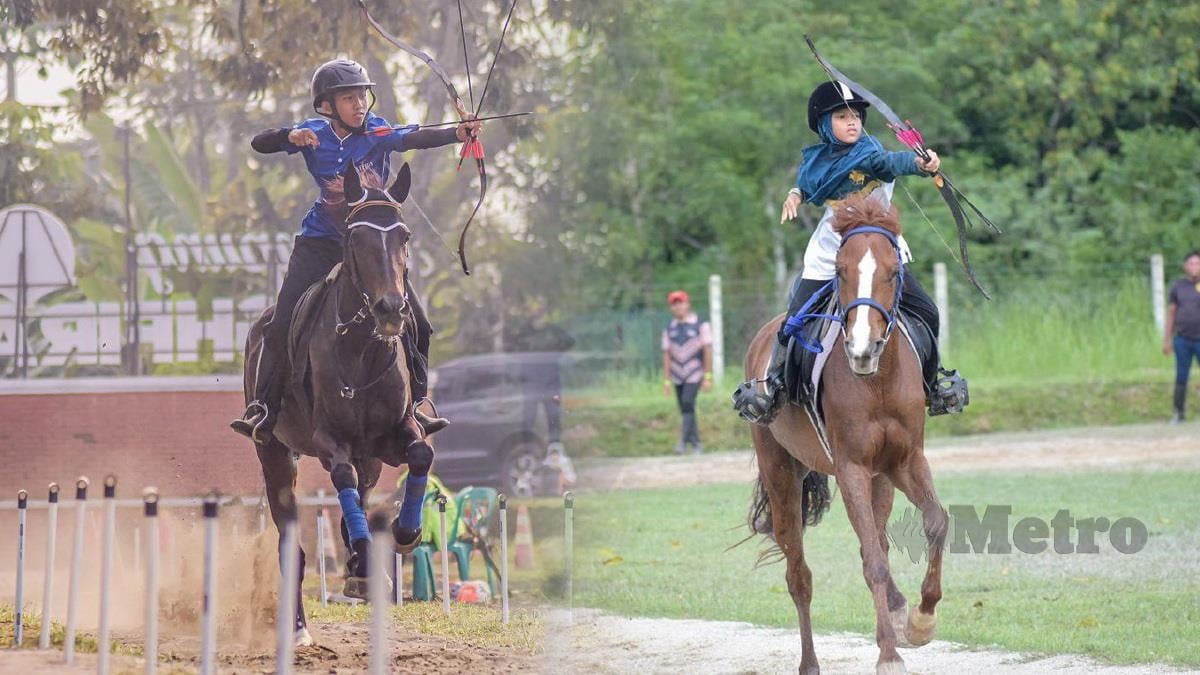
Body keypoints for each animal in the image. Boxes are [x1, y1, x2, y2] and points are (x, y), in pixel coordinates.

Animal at [241, 159, 434, 643]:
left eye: (404, 236)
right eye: (356, 238)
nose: (391, 309)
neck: (362, 349)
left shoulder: (393, 435)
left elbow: (421, 454)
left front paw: (404, 532)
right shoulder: (330, 442)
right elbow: (341, 474)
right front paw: (365, 554)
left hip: (371, 458)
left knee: (360, 495)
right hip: (275, 453)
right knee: (290, 541)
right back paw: (297, 628)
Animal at [739, 195, 945, 672]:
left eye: (893, 271)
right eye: (840, 271)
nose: (862, 349)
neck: (878, 380)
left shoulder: (905, 461)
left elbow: (935, 523)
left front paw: (921, 621)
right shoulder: (851, 467)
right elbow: (873, 561)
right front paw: (888, 654)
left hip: (879, 480)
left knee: (879, 541)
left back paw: (898, 609)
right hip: (782, 478)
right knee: (798, 574)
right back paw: (810, 662)